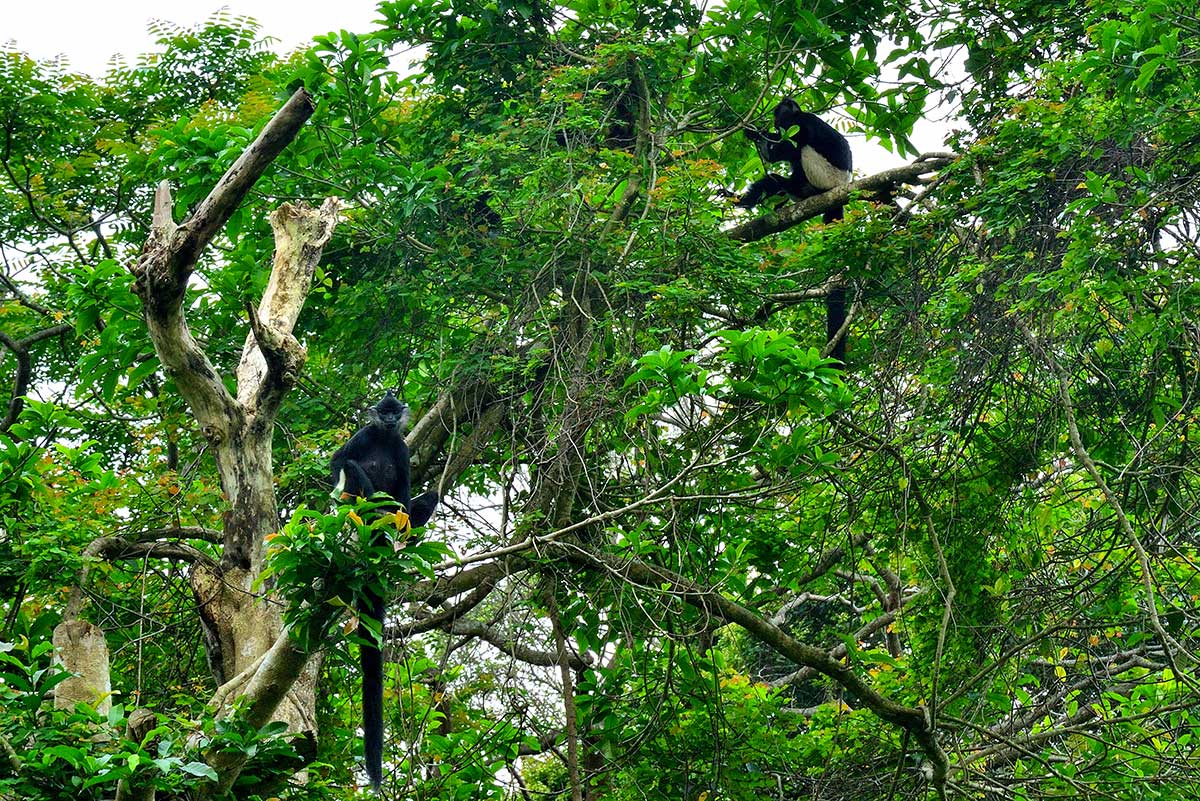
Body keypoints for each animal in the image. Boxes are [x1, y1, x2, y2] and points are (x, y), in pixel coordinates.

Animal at [329, 390, 438, 793]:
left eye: (395, 412)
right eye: (385, 412)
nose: (390, 420)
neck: (385, 438)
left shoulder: (402, 449)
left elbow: (406, 492)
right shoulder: (364, 436)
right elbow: (340, 461)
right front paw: (366, 483)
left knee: (425, 497)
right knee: (351, 475)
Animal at [735, 98, 853, 362]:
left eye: (779, 113)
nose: (775, 120)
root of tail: (838, 188)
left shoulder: (802, 123)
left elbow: (785, 144)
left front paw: (758, 136)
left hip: (820, 173)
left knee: (796, 151)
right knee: (779, 178)